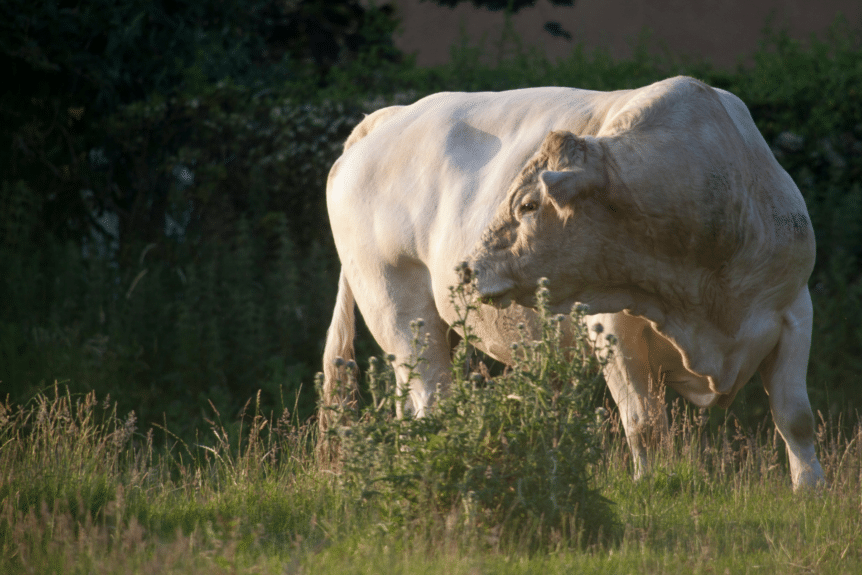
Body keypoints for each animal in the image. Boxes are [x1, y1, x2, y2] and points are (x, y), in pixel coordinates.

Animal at [321, 76, 824, 489]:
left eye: (526, 205)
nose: (466, 269)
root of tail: (389, 116)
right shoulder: (612, 329)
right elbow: (644, 423)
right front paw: (650, 485)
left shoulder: (795, 309)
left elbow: (796, 418)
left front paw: (810, 490)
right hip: (399, 312)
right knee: (431, 401)